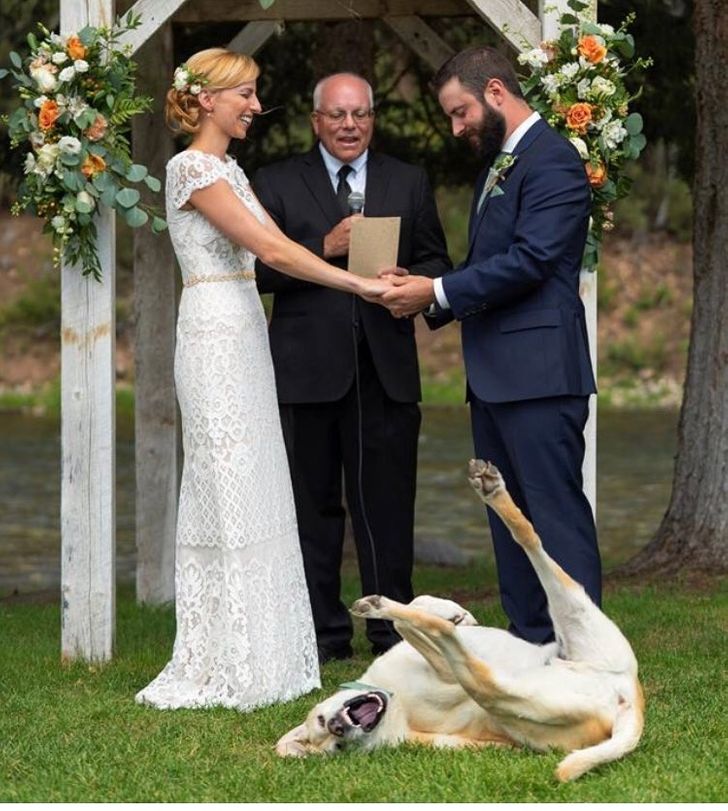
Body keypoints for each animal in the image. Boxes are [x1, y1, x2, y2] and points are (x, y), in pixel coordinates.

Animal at [274, 456, 644, 780]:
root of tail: (627, 701)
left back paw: (491, 491)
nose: (338, 727)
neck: (394, 700)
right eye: (337, 747)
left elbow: (413, 616)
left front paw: (455, 613)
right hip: (520, 686)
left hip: (580, 621)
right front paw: (440, 617)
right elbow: (424, 631)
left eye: (321, 722)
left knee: (528, 539)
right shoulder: (445, 681)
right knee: (473, 666)